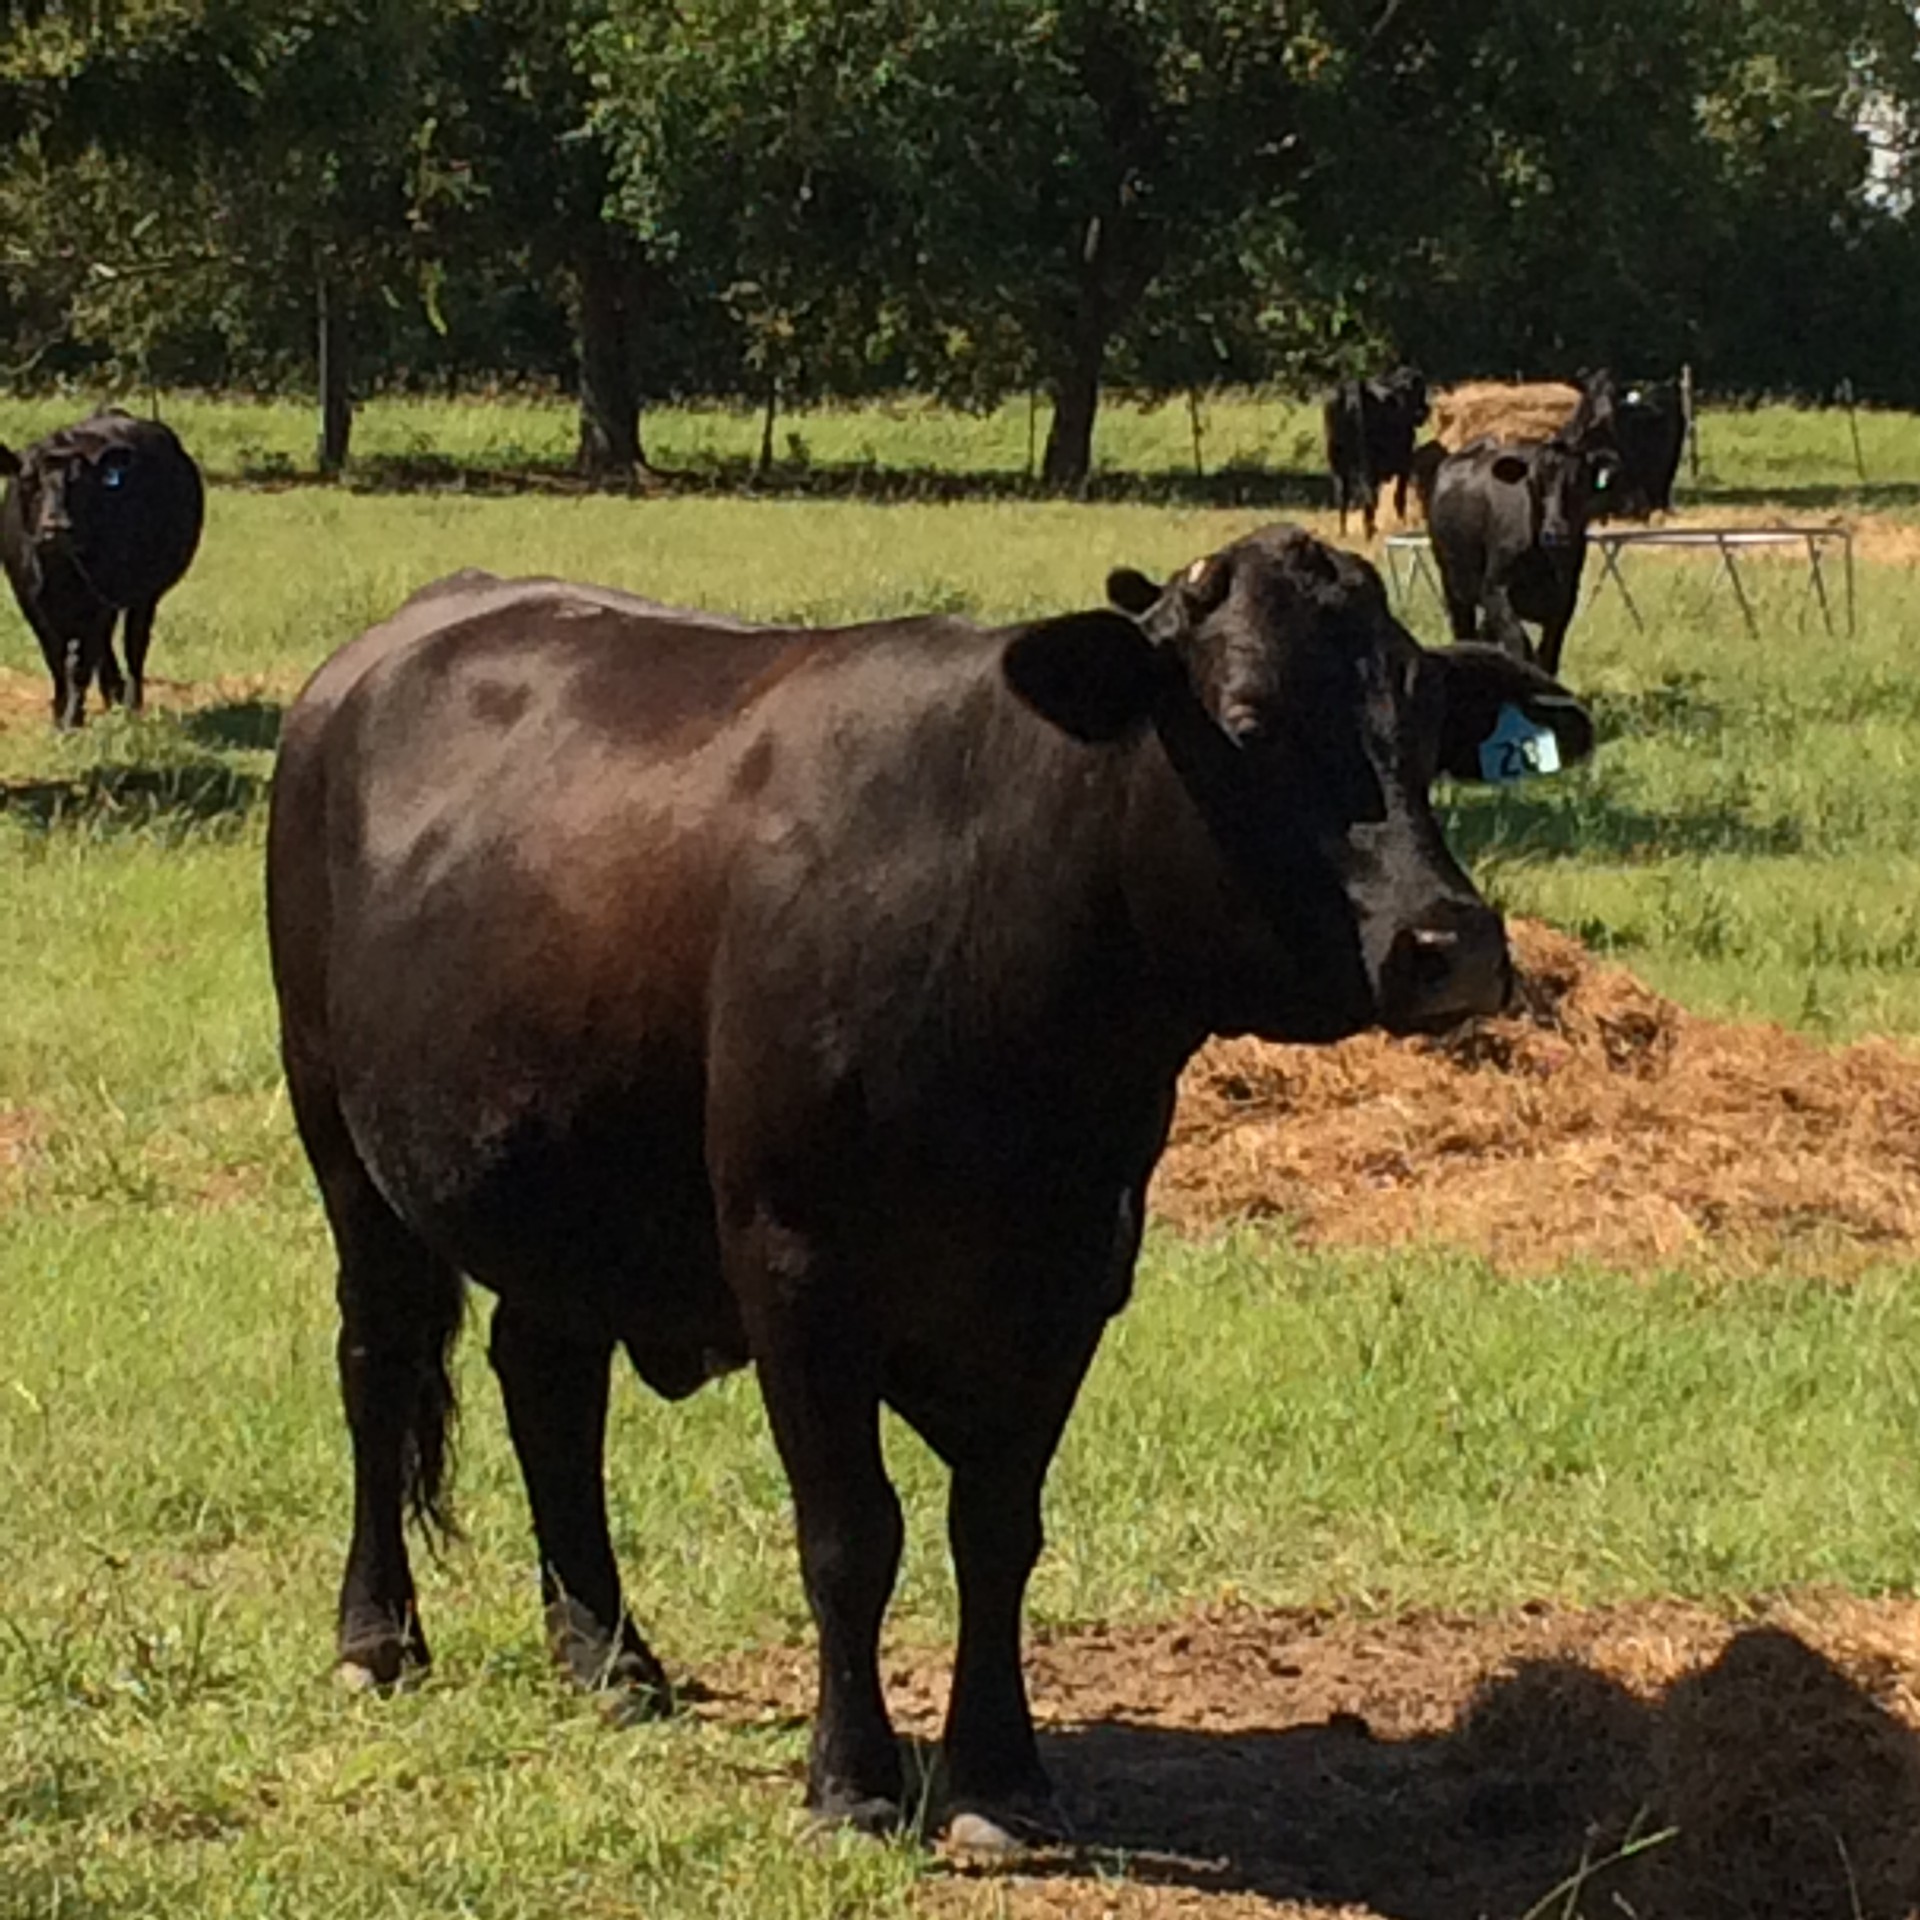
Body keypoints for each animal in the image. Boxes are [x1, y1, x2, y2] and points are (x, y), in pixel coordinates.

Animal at [0, 409, 205, 729]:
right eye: (29, 482)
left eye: (80, 484)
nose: (56, 527)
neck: (58, 573)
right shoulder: (30, 601)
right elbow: (55, 658)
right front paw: (61, 712)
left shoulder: (100, 601)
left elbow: (80, 663)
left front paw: (72, 718)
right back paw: (114, 695)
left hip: (144, 594)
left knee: (134, 643)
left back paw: (130, 702)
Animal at [265, 530, 1594, 1850]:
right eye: (1251, 720)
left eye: (1424, 726)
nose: (1451, 942)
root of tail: (377, 656)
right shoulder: (798, 1270)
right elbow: (853, 1535)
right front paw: (851, 1780)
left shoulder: (1073, 1275)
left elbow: (997, 1531)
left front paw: (998, 1775)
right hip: (345, 1151)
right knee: (378, 1368)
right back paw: (378, 1636)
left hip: (565, 1187)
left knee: (547, 1383)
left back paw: (608, 1654)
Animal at [1323, 365, 1429, 539]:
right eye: (1420, 391)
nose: (1425, 410)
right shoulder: (1405, 463)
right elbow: (1399, 496)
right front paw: (1403, 525)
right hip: (1368, 464)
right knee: (1369, 496)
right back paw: (1370, 532)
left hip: (1337, 462)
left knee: (1342, 496)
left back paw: (1344, 532)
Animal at [1426, 421, 1622, 678]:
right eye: (1534, 482)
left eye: (1580, 482)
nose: (1557, 533)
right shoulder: (1494, 588)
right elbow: (1519, 643)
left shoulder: (1564, 599)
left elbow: (1548, 656)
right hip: (1452, 582)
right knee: (1465, 630)